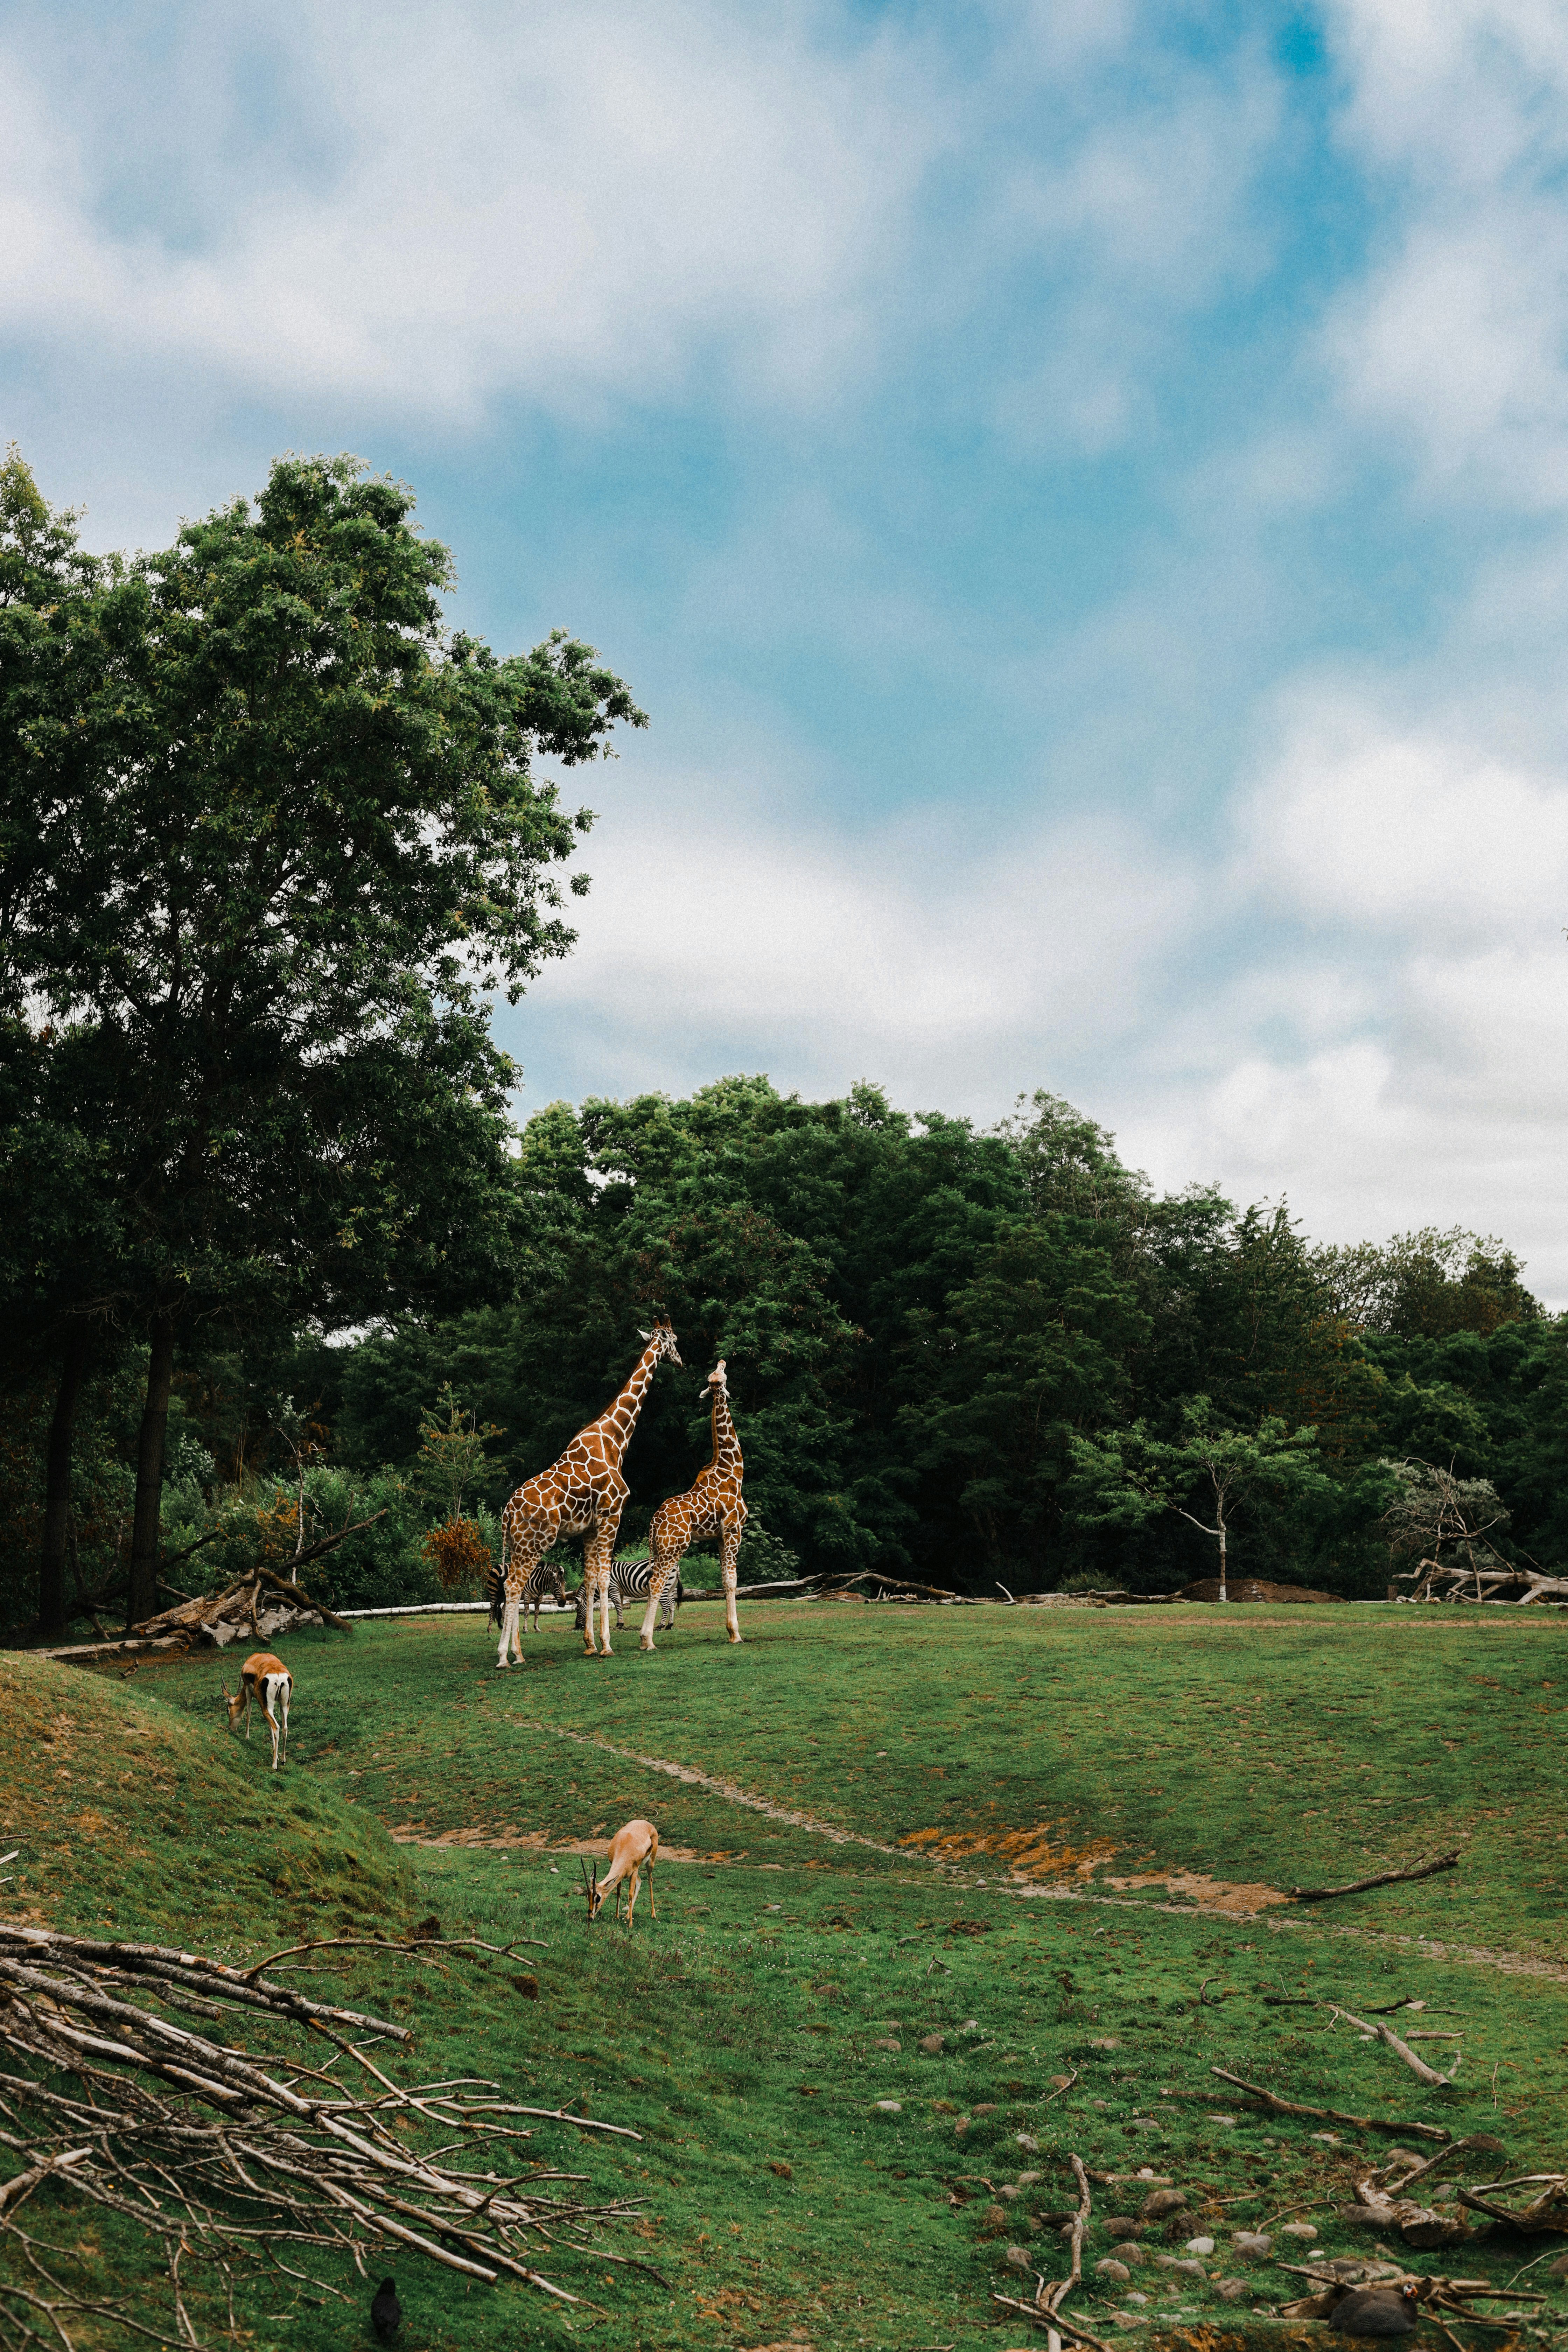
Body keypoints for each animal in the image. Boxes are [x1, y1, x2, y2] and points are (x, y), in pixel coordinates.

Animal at [494, 1322, 683, 1665]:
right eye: (674, 1341)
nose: (681, 1361)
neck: (615, 1439)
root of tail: (508, 1512)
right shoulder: (612, 1515)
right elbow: (605, 1579)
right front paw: (607, 1644)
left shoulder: (590, 1528)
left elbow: (592, 1580)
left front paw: (590, 1643)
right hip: (535, 1542)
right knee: (514, 1586)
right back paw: (505, 1655)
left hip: (517, 1545)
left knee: (512, 1585)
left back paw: (518, 1653)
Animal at [638, 1357, 747, 1650]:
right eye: (719, 1375)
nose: (722, 1360)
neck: (733, 1472)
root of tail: (653, 1523)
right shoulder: (734, 1531)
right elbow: (732, 1581)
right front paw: (736, 1634)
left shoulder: (720, 1536)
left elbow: (724, 1579)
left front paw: (731, 1631)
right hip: (674, 1547)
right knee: (656, 1583)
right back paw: (647, 1640)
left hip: (659, 1547)